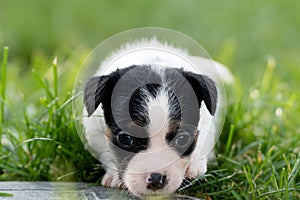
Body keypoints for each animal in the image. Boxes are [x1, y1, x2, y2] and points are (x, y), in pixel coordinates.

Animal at [82, 38, 234, 198]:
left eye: (182, 139)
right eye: (126, 138)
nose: (156, 179)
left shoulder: (207, 121)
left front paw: (193, 165)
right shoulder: (93, 129)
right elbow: (105, 152)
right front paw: (114, 176)